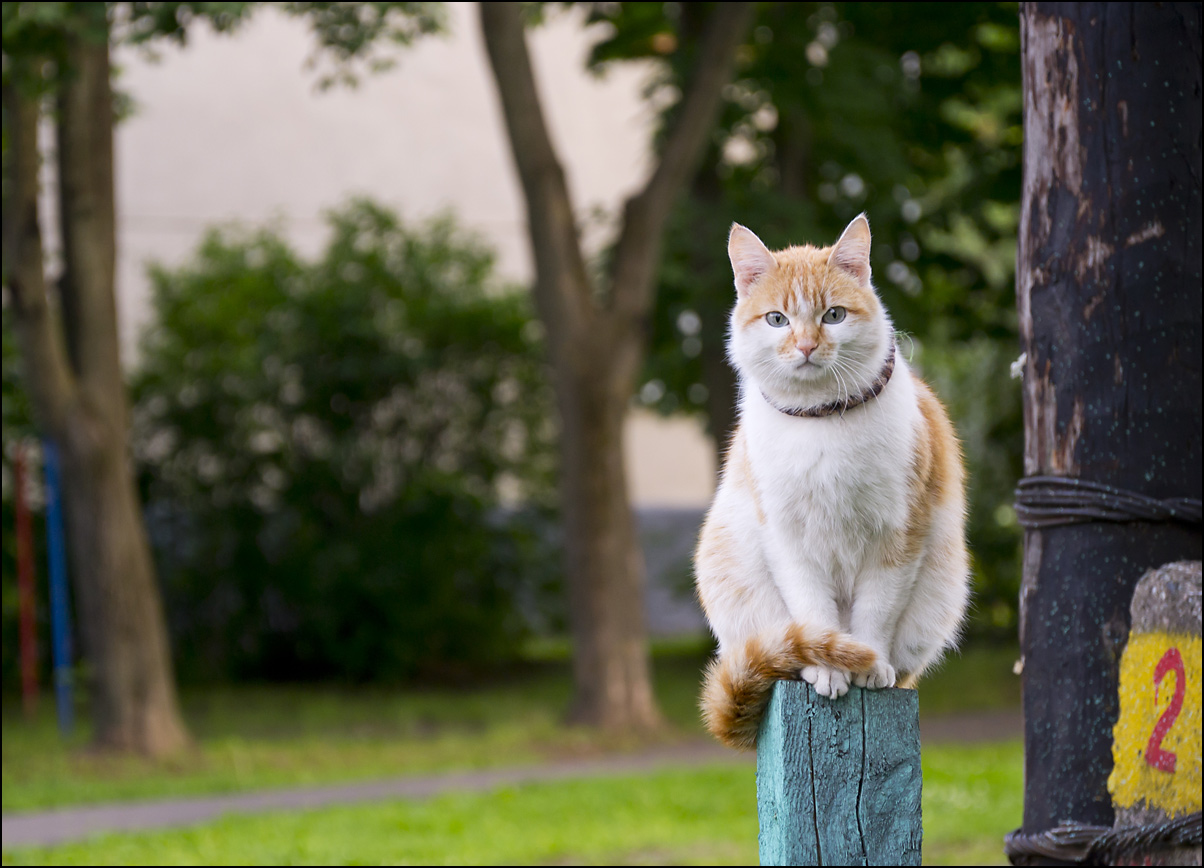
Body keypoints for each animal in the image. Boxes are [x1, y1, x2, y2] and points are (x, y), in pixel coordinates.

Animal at [698, 213, 968, 746]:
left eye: (834, 315)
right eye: (777, 320)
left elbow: (875, 611)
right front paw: (828, 668)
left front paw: (869, 663)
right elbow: (812, 610)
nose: (806, 346)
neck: (819, 422)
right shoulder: (789, 539)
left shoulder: (899, 535)